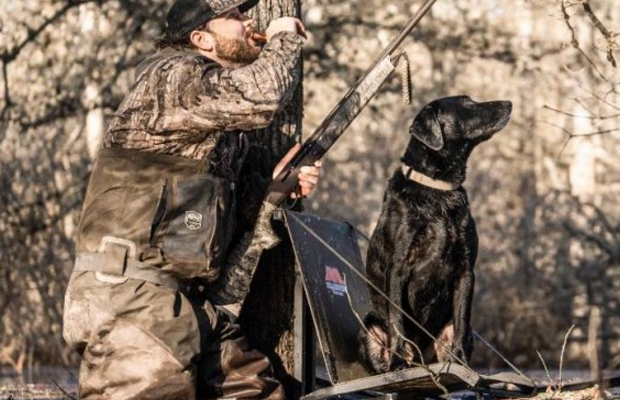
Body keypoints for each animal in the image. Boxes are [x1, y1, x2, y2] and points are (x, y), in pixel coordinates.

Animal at [360, 95, 512, 374]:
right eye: (467, 104)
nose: (508, 103)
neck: (438, 190)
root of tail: (422, 359)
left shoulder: (466, 271)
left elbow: (461, 320)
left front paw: (460, 361)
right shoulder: (397, 269)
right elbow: (397, 321)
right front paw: (398, 361)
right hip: (369, 329)